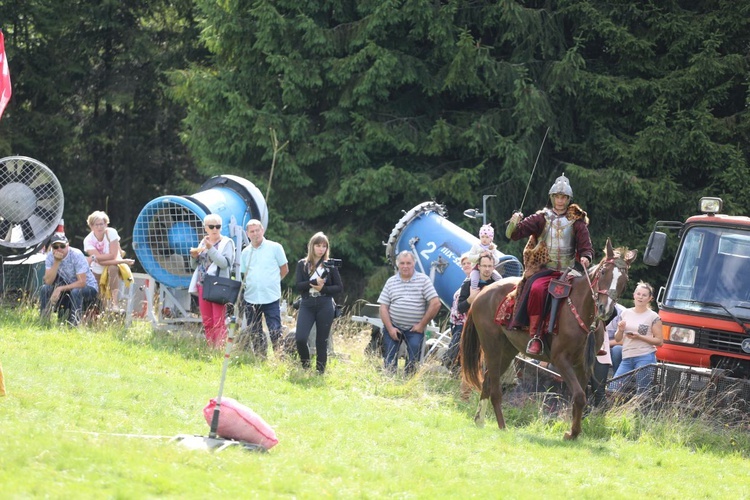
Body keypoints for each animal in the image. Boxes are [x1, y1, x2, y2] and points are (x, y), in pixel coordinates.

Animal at [462, 240, 636, 440]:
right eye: (603, 272)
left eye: (625, 280)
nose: (604, 309)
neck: (580, 310)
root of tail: (482, 292)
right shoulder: (560, 360)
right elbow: (579, 396)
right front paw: (572, 433)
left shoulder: (583, 366)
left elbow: (580, 398)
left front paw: (573, 432)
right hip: (492, 346)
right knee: (495, 388)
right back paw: (502, 426)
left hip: (507, 350)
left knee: (488, 382)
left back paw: (480, 421)